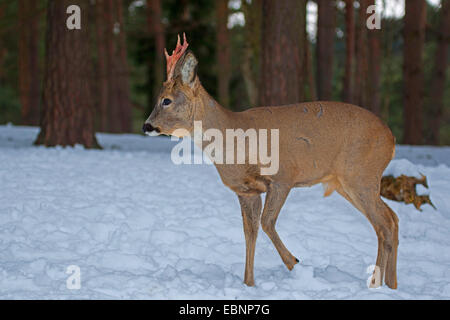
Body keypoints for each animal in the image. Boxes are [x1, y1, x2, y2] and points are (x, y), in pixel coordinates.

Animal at [143, 34, 398, 288]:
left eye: (166, 100)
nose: (146, 126)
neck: (234, 140)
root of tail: (391, 138)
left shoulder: (283, 177)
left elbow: (267, 222)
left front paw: (294, 262)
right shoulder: (246, 190)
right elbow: (250, 231)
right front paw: (249, 282)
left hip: (361, 175)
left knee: (384, 223)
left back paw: (376, 285)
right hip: (348, 183)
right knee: (391, 220)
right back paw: (391, 284)